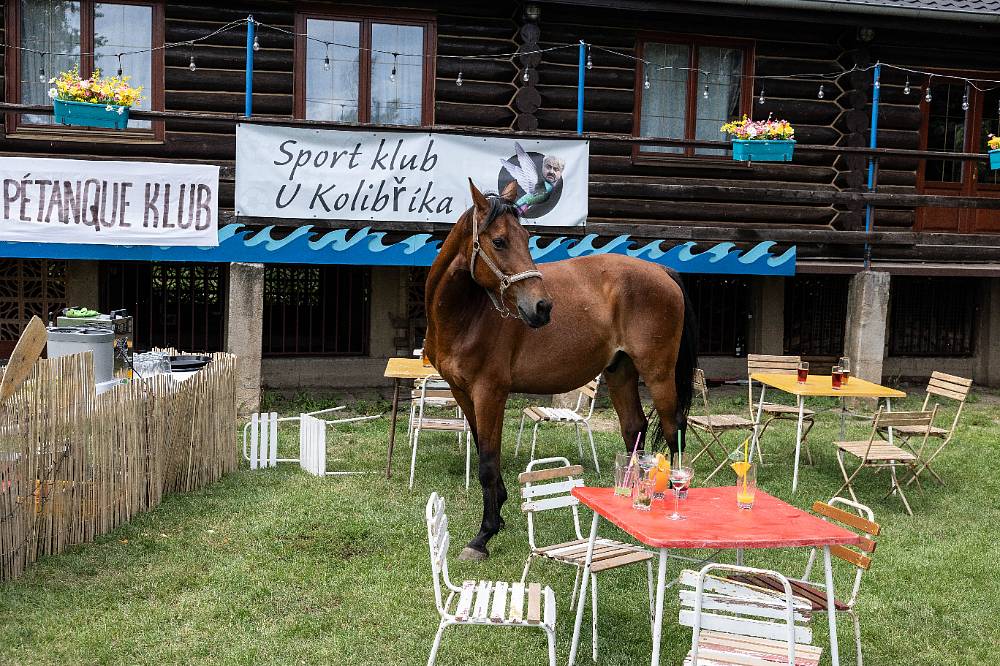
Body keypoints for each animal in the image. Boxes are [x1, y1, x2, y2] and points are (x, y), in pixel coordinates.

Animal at [422, 179, 696, 556]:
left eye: (526, 237)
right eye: (499, 241)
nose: (541, 307)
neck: (467, 316)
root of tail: (661, 272)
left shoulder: (490, 392)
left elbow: (488, 462)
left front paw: (484, 535)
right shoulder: (463, 392)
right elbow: (482, 450)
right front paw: (499, 516)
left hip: (658, 373)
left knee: (673, 428)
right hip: (620, 371)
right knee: (633, 428)